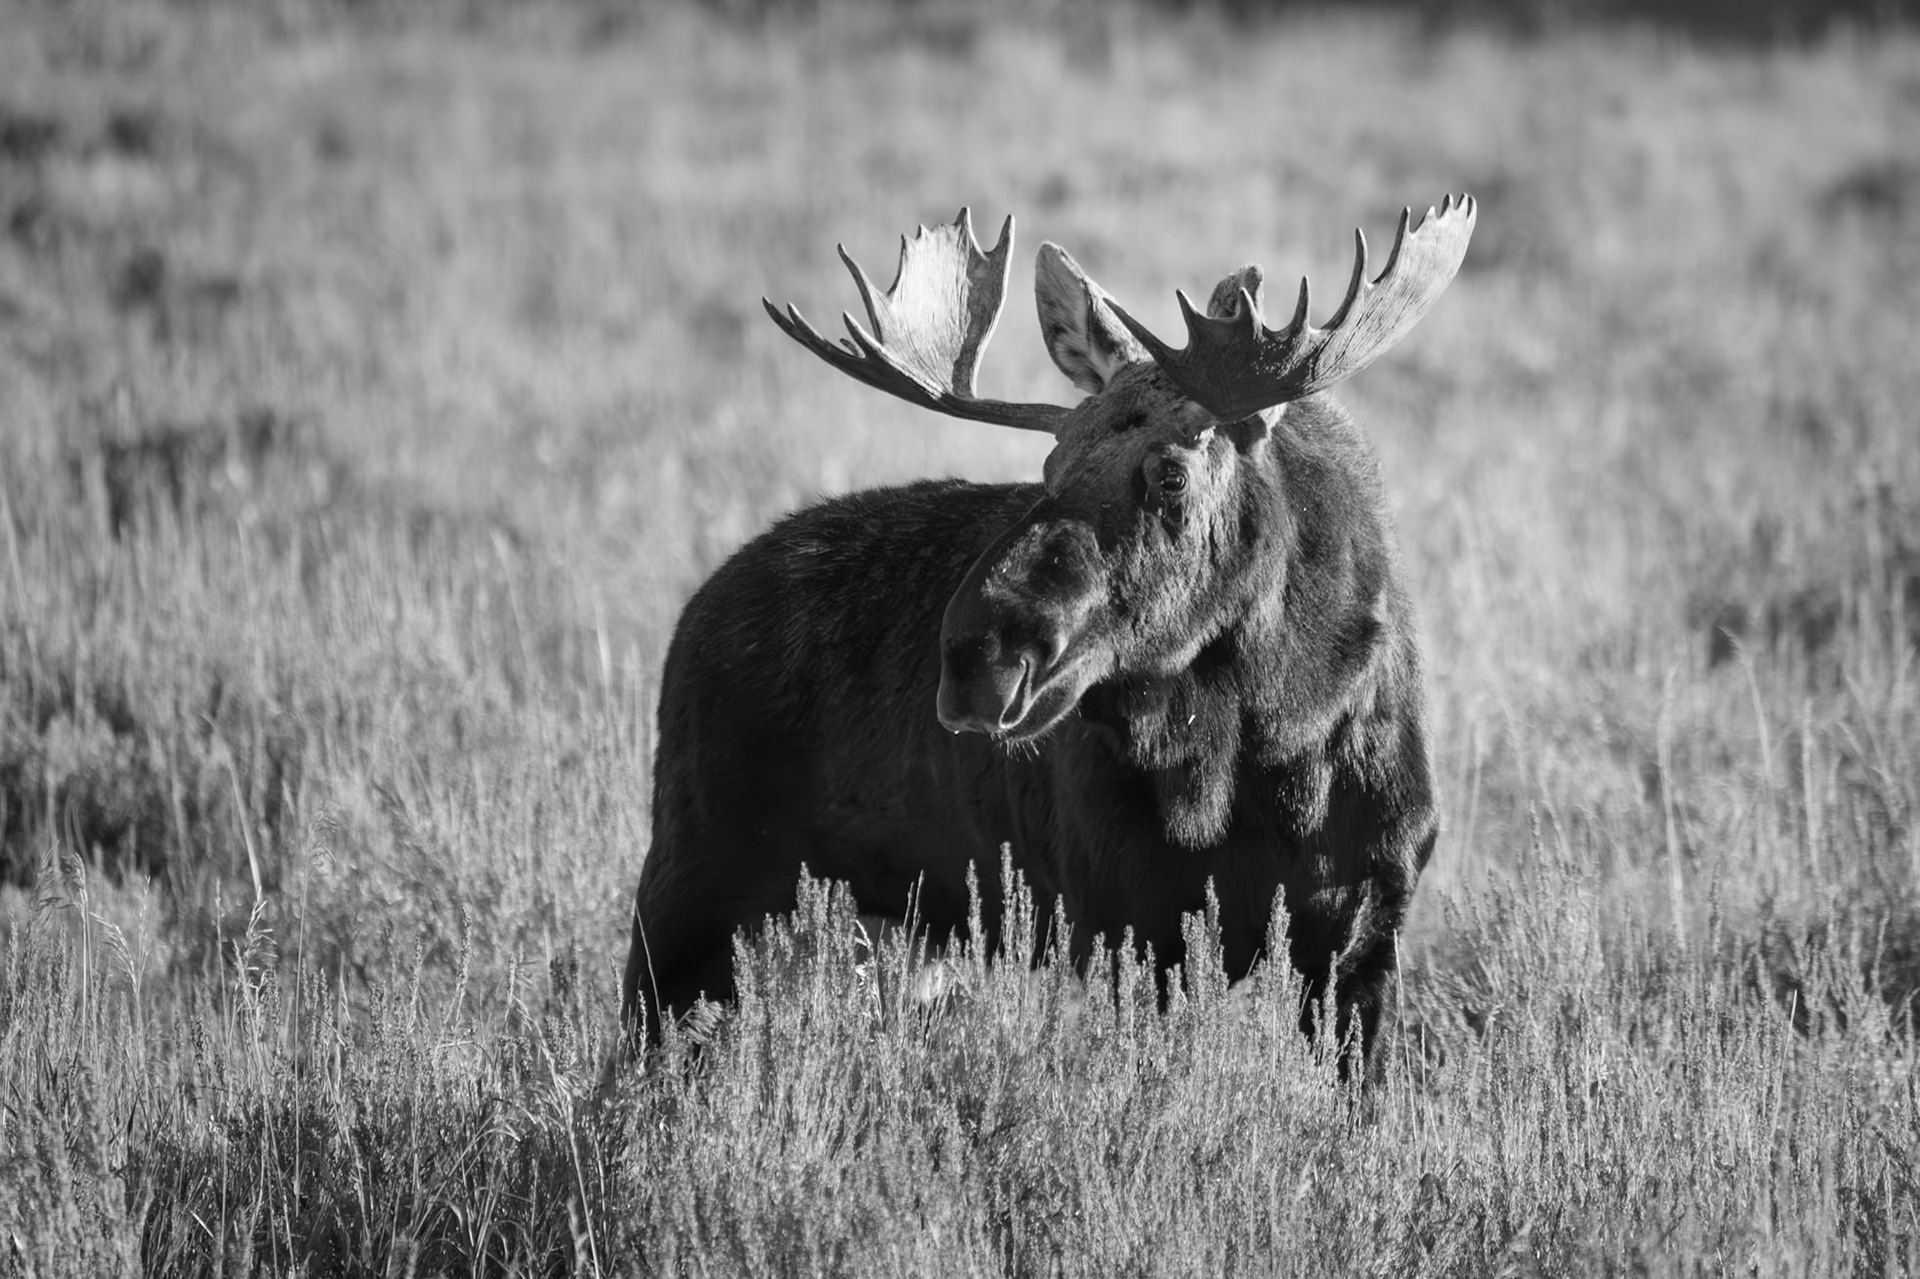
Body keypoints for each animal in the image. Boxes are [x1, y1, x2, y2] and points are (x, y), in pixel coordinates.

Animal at [619, 196, 1475, 1073]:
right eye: (1050, 464)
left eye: (1170, 473)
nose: (978, 661)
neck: (1271, 736)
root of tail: (697, 610)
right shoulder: (1128, 922)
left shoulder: (1364, 924)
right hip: (693, 883)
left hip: (904, 929)